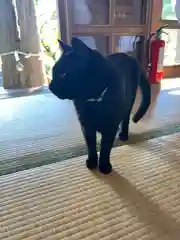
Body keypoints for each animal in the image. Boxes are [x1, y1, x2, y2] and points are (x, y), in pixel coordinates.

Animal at [48, 38, 150, 175]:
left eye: (63, 74)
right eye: (53, 72)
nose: (50, 86)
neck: (94, 101)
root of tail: (129, 56)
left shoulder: (110, 126)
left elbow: (105, 147)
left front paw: (104, 166)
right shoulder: (86, 125)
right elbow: (91, 145)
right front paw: (92, 162)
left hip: (130, 100)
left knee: (126, 118)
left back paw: (123, 134)